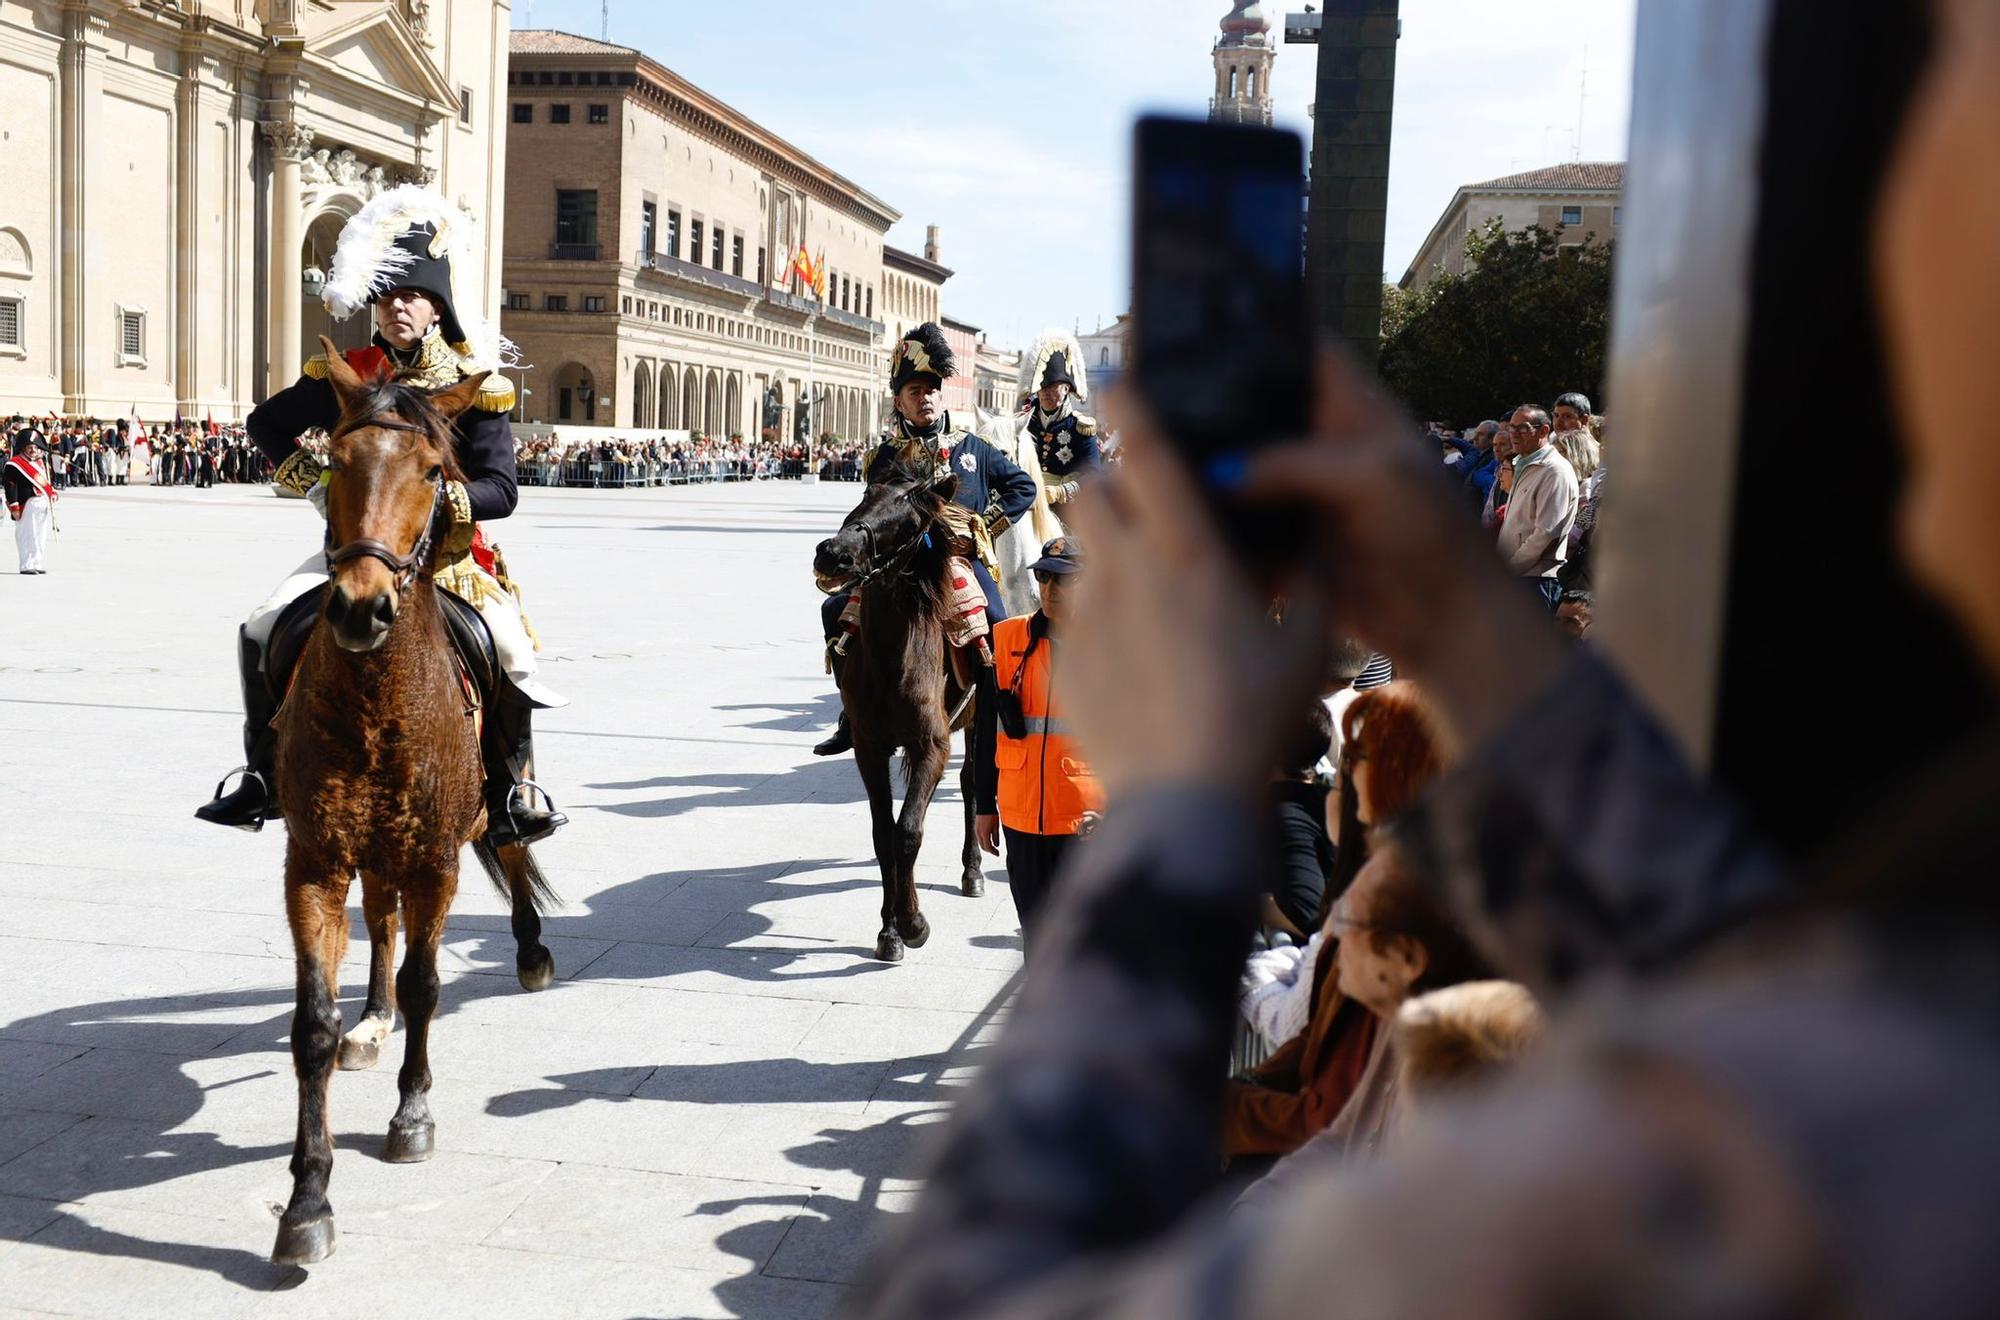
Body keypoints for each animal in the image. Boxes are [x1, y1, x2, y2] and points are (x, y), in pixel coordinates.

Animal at [270, 336, 560, 1264]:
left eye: (437, 471)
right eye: (337, 460)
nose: (361, 608)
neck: (376, 702)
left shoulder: (435, 858)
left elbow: (429, 981)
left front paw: (412, 1114)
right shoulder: (314, 861)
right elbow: (312, 1023)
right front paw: (308, 1200)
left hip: (474, 809)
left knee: (508, 847)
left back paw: (531, 953)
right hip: (372, 848)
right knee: (382, 920)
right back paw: (372, 1018)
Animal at [804, 452, 976, 960]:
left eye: (912, 521)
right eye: (866, 493)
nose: (832, 553)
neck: (893, 658)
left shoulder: (931, 746)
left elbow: (908, 831)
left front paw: (912, 921)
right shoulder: (869, 747)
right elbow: (884, 833)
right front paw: (889, 930)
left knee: (973, 783)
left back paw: (973, 870)